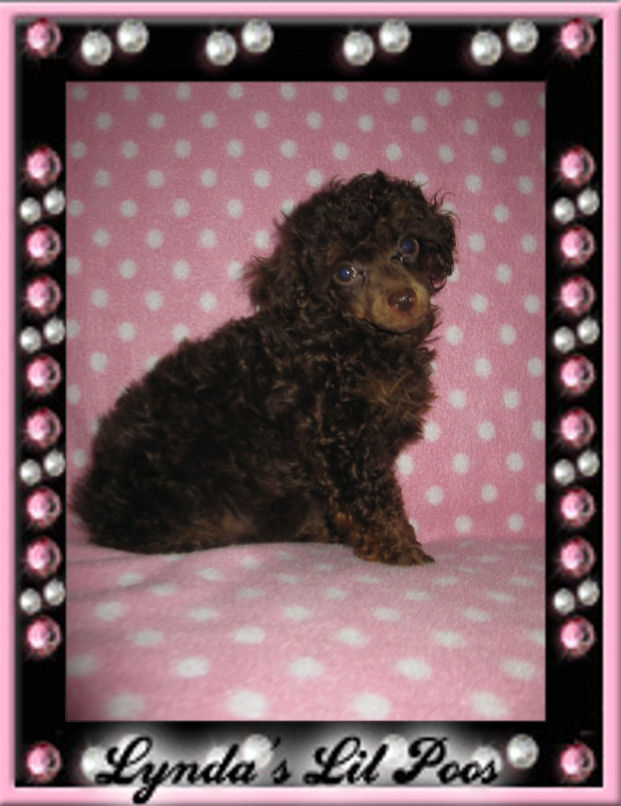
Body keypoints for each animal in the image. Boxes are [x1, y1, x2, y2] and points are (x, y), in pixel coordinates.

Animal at [72, 170, 456, 565]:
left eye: (408, 245)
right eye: (345, 272)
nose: (403, 299)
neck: (352, 336)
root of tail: (98, 505)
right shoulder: (342, 436)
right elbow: (371, 501)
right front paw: (400, 548)